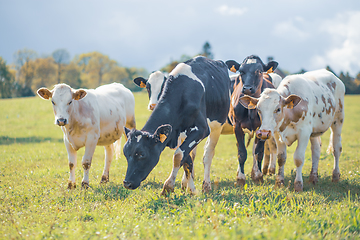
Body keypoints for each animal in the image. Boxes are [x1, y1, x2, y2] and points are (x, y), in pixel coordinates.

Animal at [122, 56, 229, 195]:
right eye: (125, 153)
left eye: (141, 154)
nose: (127, 183)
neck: (182, 93)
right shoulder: (175, 132)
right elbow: (186, 160)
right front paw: (191, 189)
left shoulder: (202, 129)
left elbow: (178, 156)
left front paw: (168, 186)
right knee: (192, 155)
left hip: (217, 125)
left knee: (208, 154)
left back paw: (206, 185)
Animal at [225, 55, 282, 187]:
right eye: (241, 71)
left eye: (259, 71)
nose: (247, 88)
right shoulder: (237, 127)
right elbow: (241, 152)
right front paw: (240, 178)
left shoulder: (263, 128)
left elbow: (259, 152)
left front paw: (258, 176)